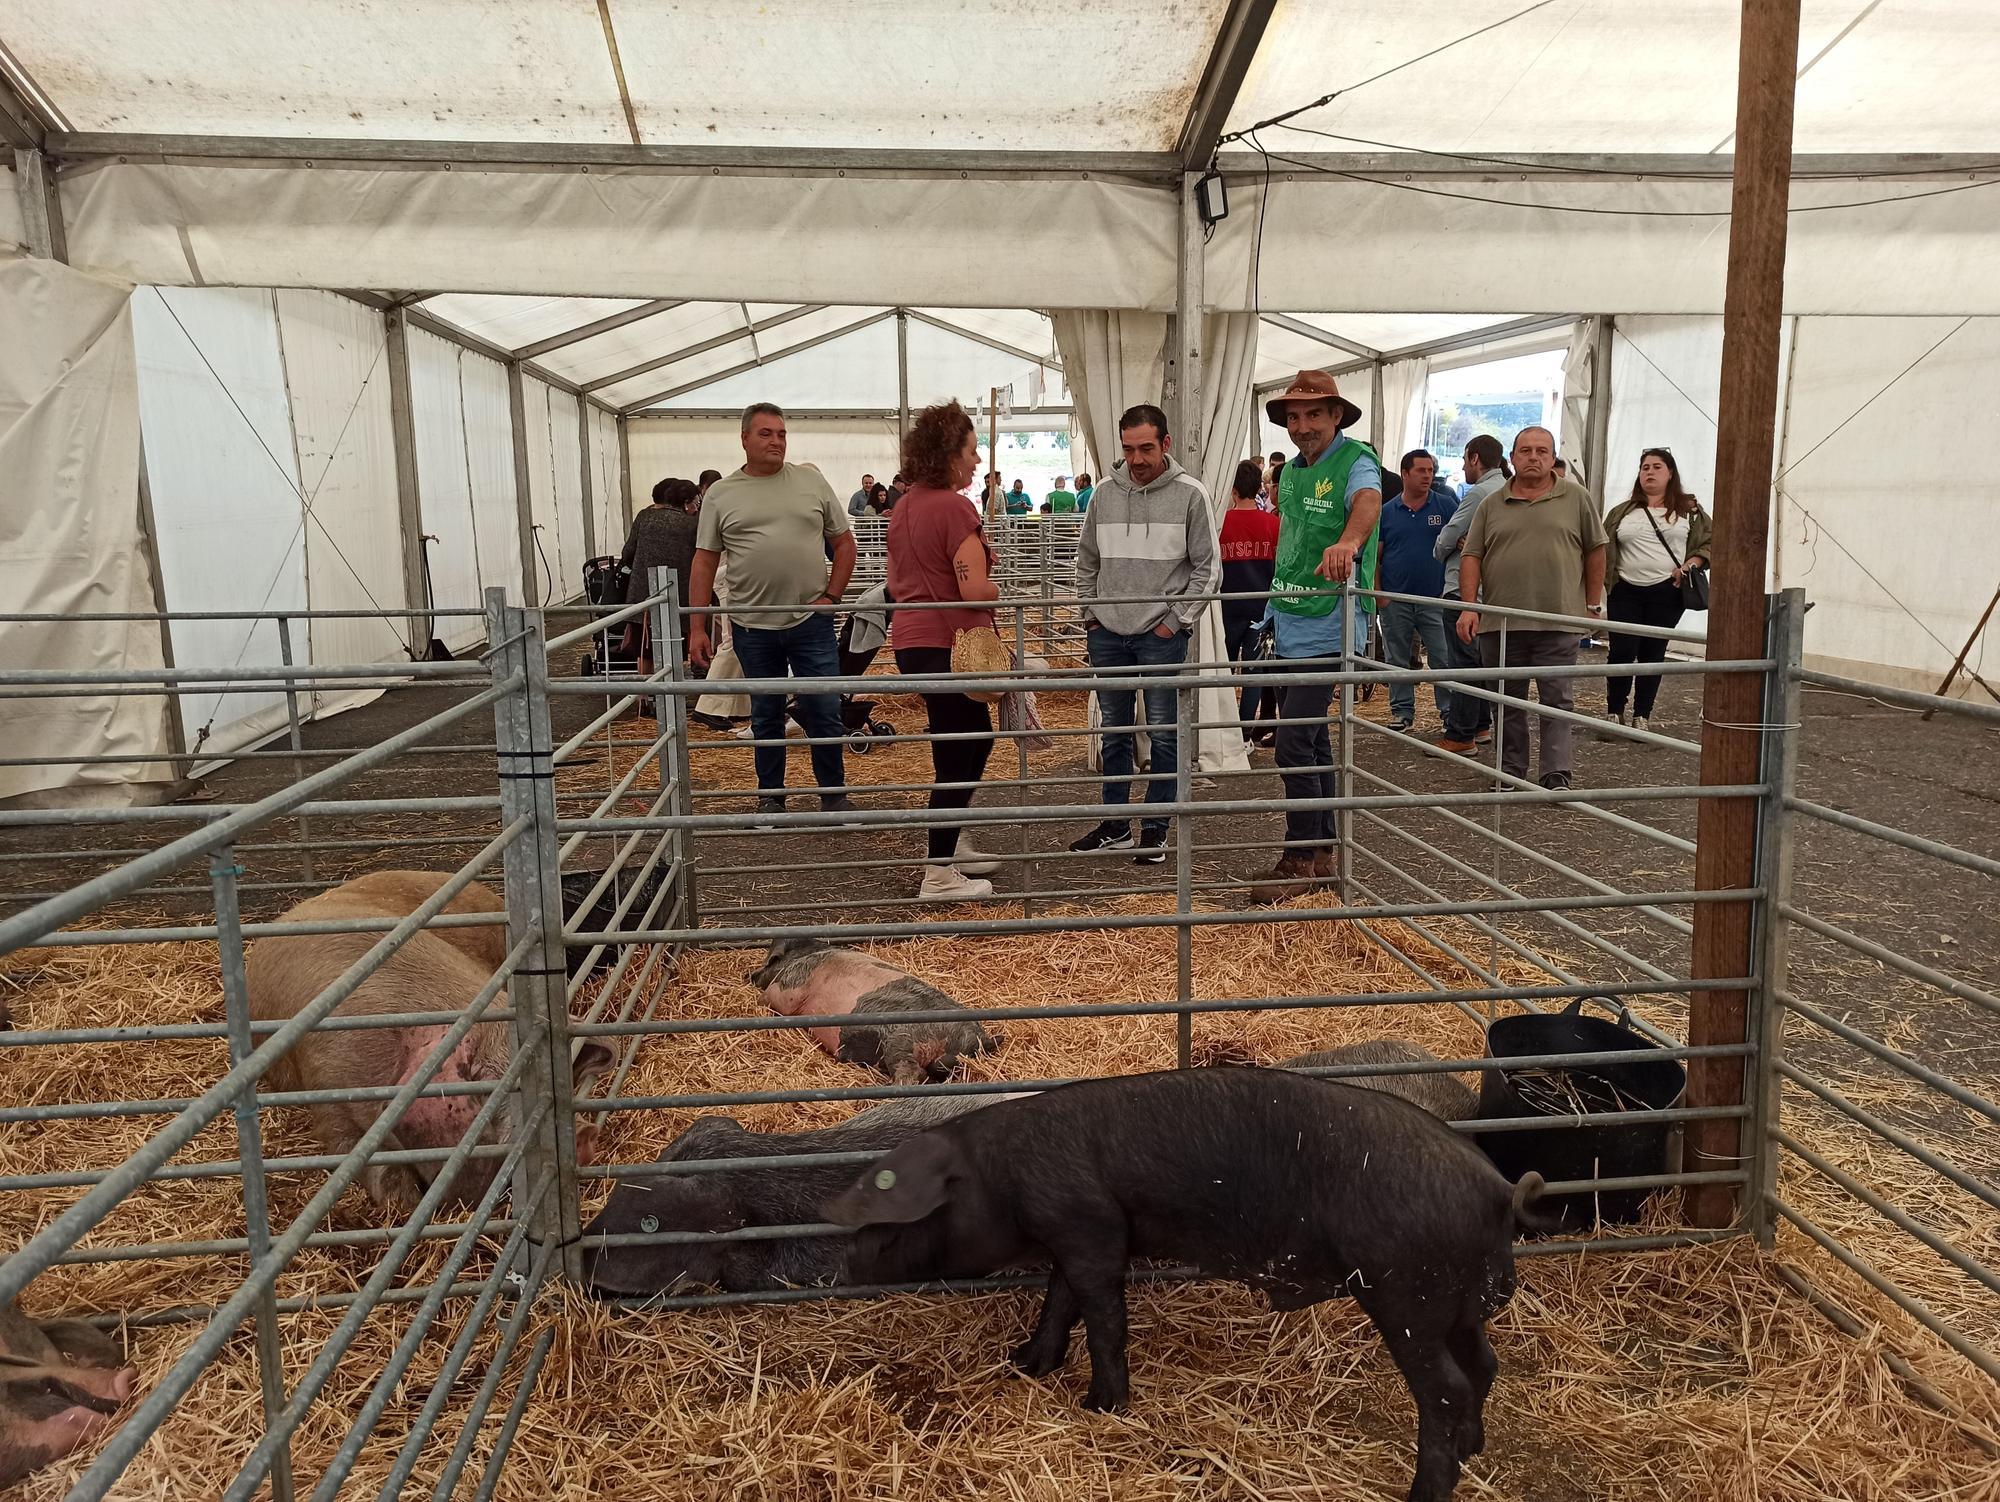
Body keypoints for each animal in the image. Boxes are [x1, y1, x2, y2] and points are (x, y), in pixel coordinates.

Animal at [824, 1072, 1544, 1502]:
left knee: (1447, 1388)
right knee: (1485, 1363)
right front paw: (1024, 1365)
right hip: (1460, 1302)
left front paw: (1101, 1407)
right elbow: (1059, 1302)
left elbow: (1104, 1319)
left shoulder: (1088, 1228)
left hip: (1407, 1295)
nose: (845, 1261)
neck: (1000, 1178)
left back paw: (1422, 1491)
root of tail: (1496, 1186)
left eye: (891, 1226)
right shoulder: (1077, 1237)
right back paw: (1475, 1449)